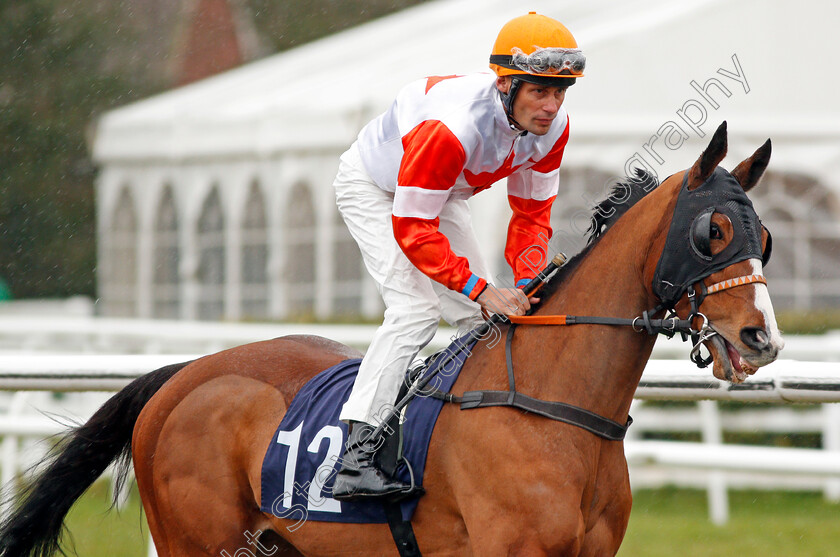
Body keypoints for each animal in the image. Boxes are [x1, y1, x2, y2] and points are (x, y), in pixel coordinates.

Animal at [3, 122, 784, 556]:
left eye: (767, 238)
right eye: (712, 232)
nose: (762, 337)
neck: (553, 405)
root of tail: (184, 374)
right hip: (197, 542)